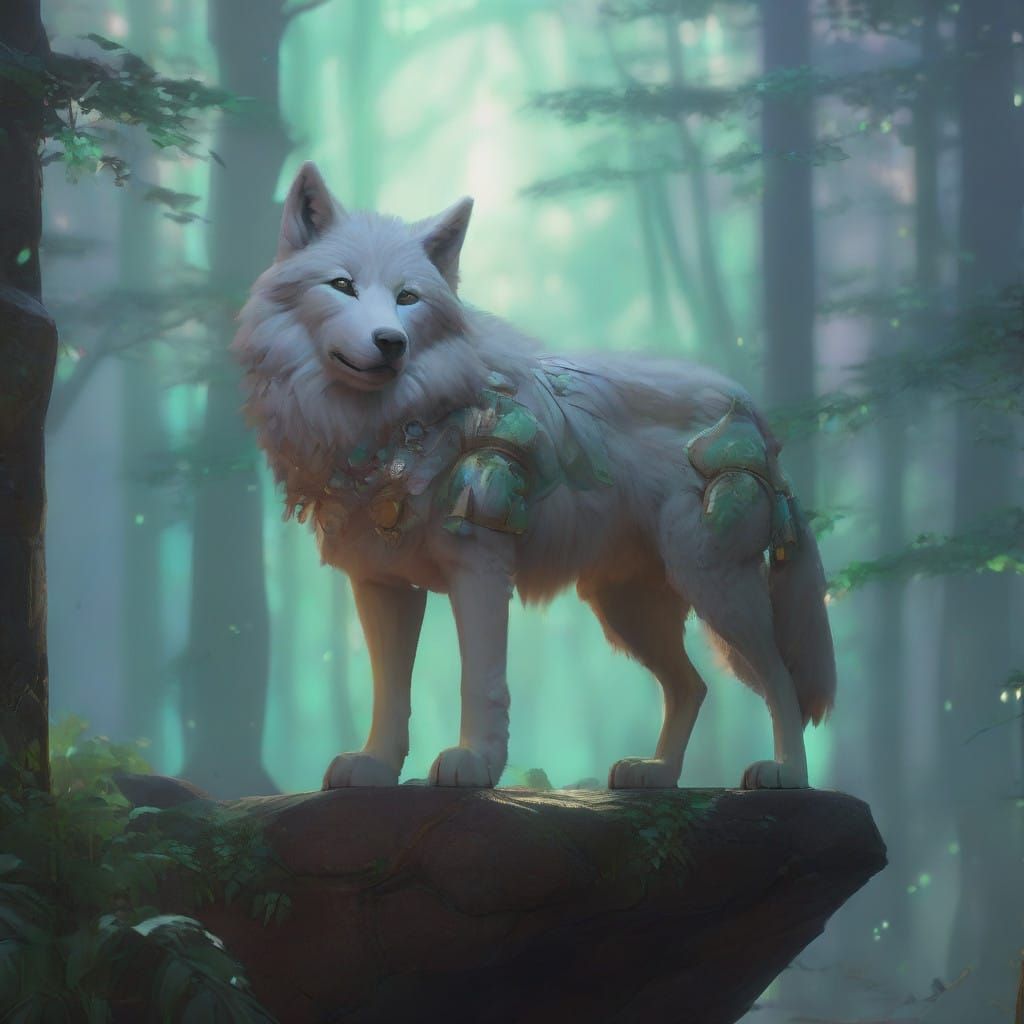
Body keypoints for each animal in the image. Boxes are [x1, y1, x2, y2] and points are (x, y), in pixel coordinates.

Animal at [232, 162, 836, 792]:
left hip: (716, 590)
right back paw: (656, 772)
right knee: (692, 686)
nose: (391, 342)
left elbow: (480, 681)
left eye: (407, 298)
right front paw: (375, 766)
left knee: (781, 680)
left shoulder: (479, 565)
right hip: (627, 612)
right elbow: (389, 693)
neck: (392, 428)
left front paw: (474, 763)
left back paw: (787, 773)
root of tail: (749, 409)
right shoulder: (382, 584)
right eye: (343, 286)